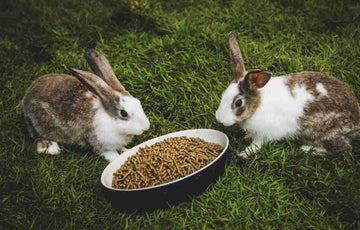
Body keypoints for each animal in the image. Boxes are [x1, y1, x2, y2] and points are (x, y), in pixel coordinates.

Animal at [21, 49, 150, 162]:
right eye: (123, 113)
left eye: (138, 102)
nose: (146, 127)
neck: (111, 121)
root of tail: (26, 98)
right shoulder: (102, 146)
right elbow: (111, 155)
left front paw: (126, 150)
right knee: (37, 136)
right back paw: (51, 148)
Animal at [217, 32, 360, 158]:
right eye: (223, 94)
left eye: (238, 102)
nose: (219, 119)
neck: (257, 105)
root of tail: (356, 121)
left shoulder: (264, 134)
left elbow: (256, 145)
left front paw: (243, 154)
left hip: (327, 134)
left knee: (343, 148)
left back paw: (308, 149)